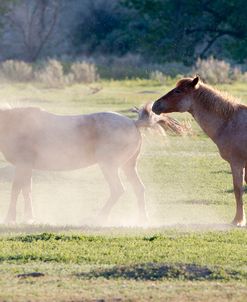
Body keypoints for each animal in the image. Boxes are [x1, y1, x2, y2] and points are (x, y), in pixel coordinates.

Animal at [0, 104, 184, 224]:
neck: (12, 122)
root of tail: (133, 123)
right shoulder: (26, 167)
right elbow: (26, 191)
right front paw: (29, 217)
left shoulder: (22, 165)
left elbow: (16, 190)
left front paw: (10, 218)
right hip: (128, 167)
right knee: (139, 189)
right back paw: (142, 219)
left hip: (108, 166)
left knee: (118, 190)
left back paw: (100, 218)